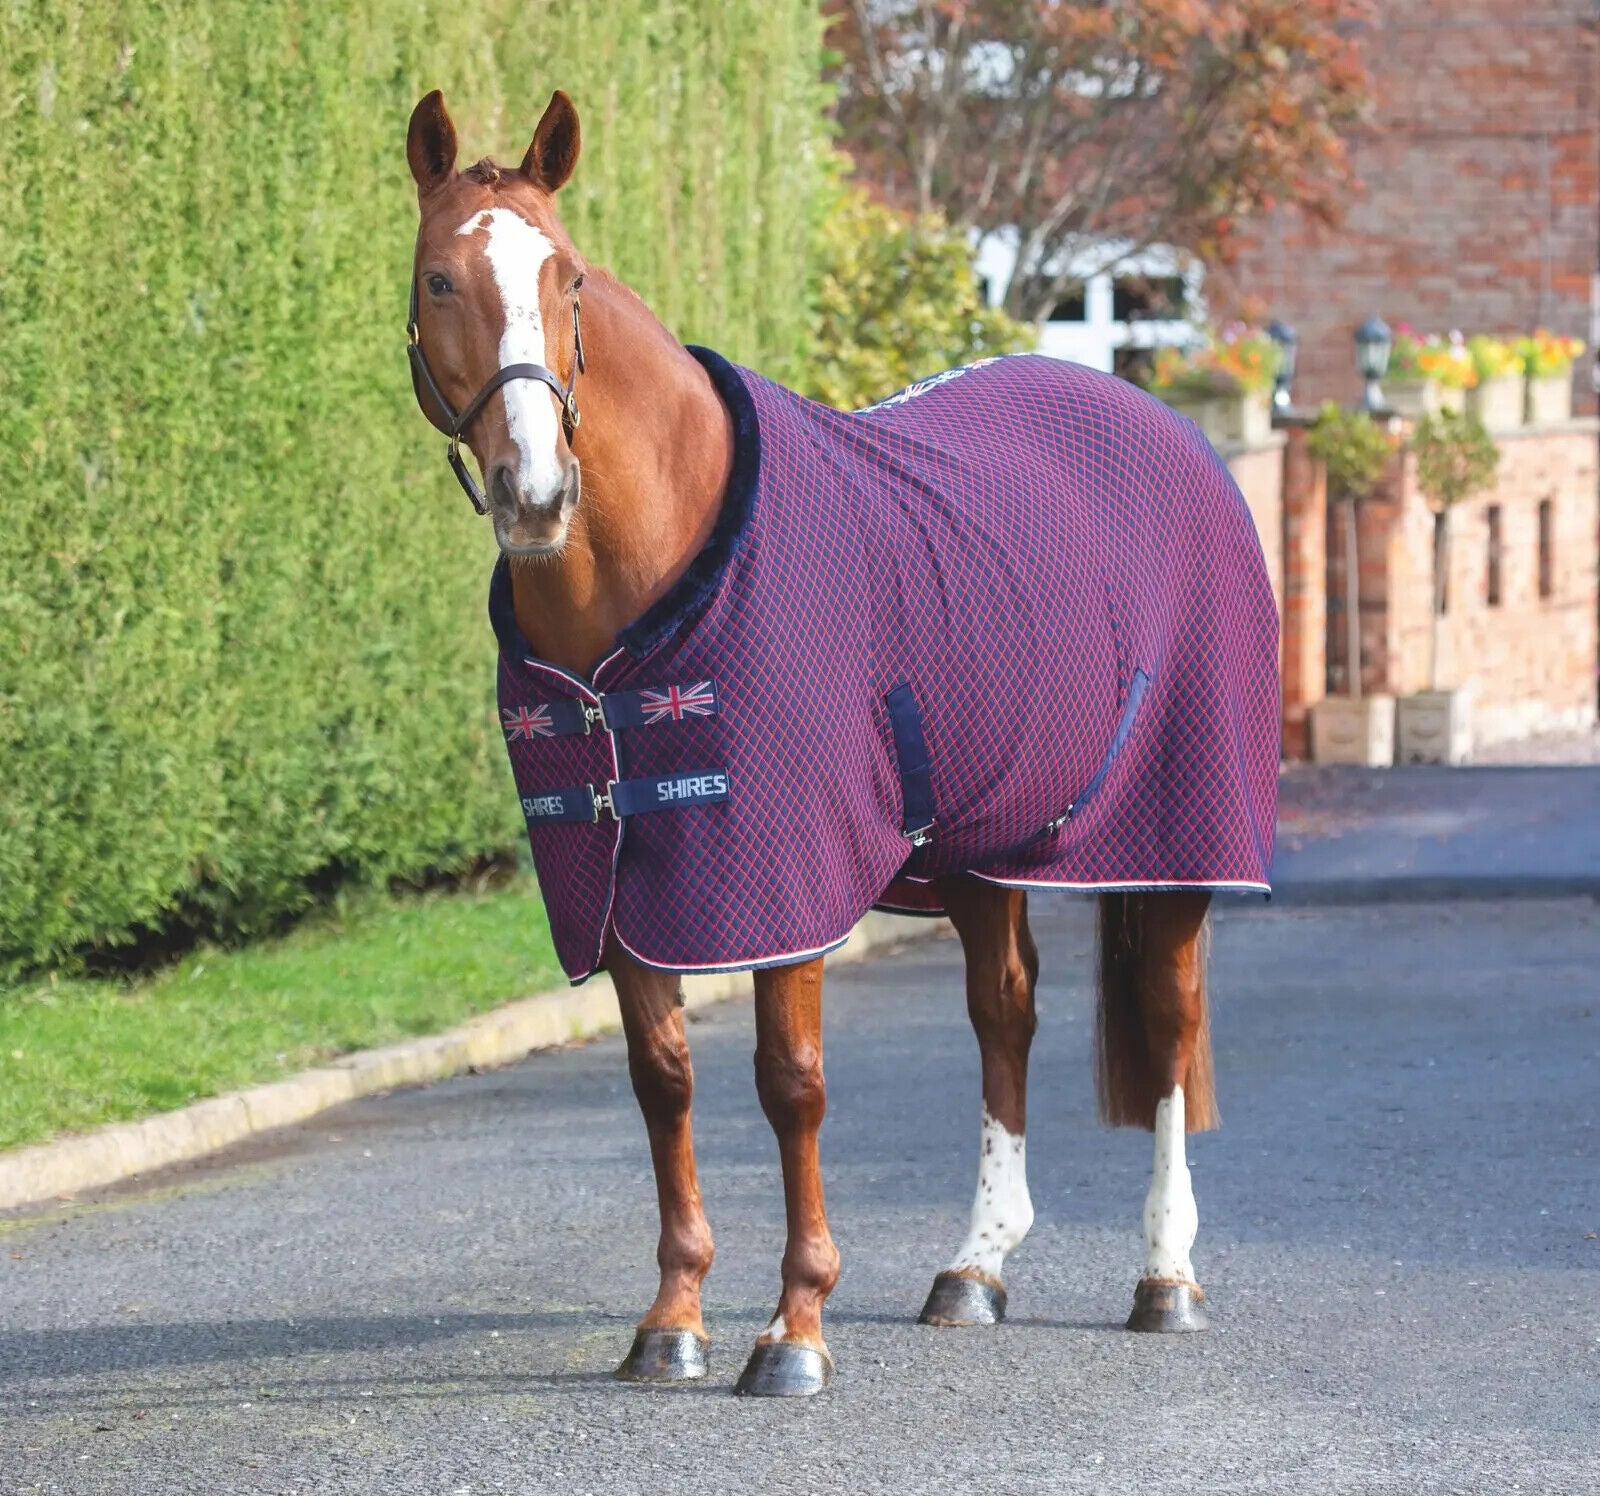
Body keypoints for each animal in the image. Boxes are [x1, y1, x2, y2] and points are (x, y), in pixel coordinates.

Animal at [403, 88, 1278, 1398]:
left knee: (1169, 1026)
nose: (536, 491)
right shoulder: (620, 877)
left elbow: (790, 1084)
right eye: (439, 278)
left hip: (1172, 843)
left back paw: (1165, 1278)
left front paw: (794, 1327)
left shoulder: (780, 874)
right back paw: (974, 1267)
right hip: (979, 851)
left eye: (568, 278)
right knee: (1003, 1011)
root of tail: (1157, 418)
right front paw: (672, 1319)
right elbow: (663, 1080)